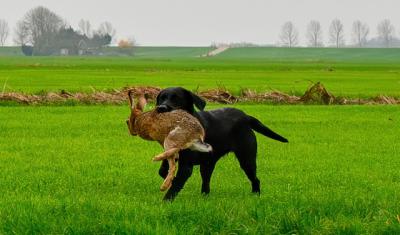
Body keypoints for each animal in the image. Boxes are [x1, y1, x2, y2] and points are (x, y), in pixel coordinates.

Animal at [155, 86, 288, 200]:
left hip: (247, 159)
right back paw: (205, 196)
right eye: (161, 98)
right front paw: (170, 180)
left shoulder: (186, 166)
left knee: (255, 179)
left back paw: (256, 195)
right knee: (206, 182)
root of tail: (245, 116)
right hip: (208, 163)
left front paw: (166, 201)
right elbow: (162, 171)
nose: (161, 108)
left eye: (176, 98)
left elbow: (175, 185)